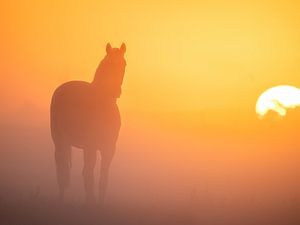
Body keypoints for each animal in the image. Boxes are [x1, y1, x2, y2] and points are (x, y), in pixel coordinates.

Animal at [50, 43, 126, 203]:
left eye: (124, 64)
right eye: (108, 63)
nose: (116, 91)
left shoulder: (109, 149)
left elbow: (103, 178)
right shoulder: (90, 146)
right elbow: (89, 175)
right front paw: (90, 202)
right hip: (59, 140)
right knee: (62, 169)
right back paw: (61, 199)